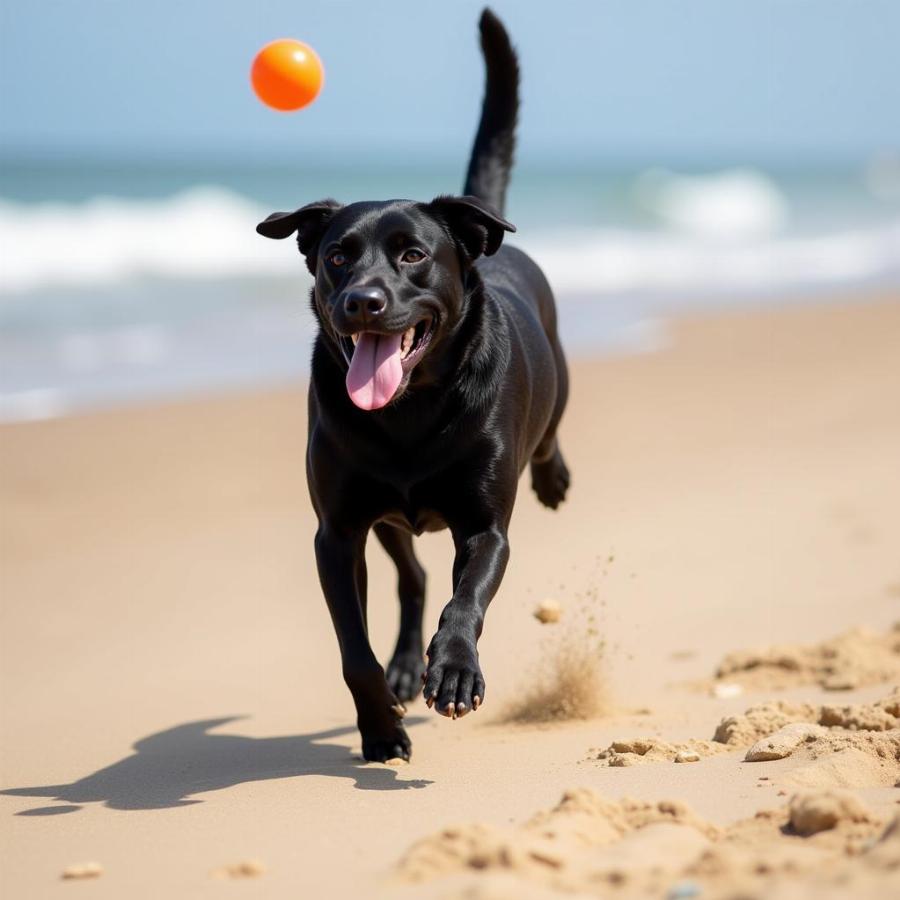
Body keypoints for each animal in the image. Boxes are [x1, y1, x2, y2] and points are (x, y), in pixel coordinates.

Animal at [256, 10, 572, 764]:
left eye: (413, 255)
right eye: (337, 256)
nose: (363, 302)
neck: (408, 409)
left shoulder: (485, 526)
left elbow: (467, 599)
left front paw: (453, 671)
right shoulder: (337, 532)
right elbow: (354, 650)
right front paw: (381, 728)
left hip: (558, 380)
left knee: (549, 437)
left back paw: (553, 479)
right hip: (388, 516)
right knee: (415, 573)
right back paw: (403, 669)